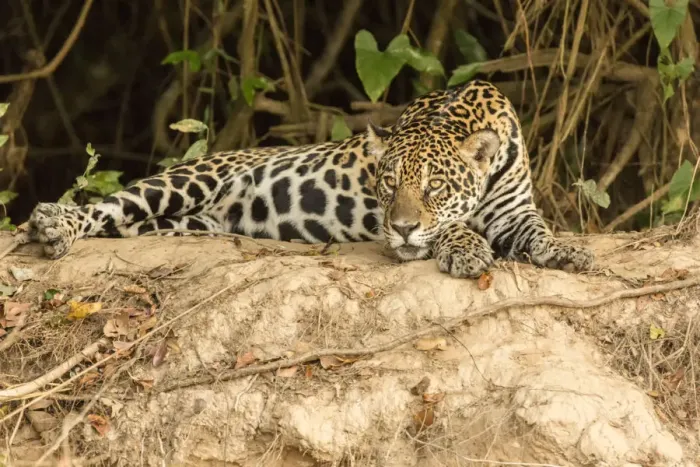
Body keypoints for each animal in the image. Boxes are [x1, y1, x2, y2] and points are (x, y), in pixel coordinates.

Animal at [26, 80, 593, 278]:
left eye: (436, 185)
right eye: (388, 185)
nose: (402, 228)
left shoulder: (514, 210)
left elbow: (536, 231)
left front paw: (568, 251)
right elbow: (451, 227)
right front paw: (465, 248)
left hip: (183, 222)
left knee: (123, 226)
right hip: (183, 180)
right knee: (104, 208)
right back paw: (52, 224)